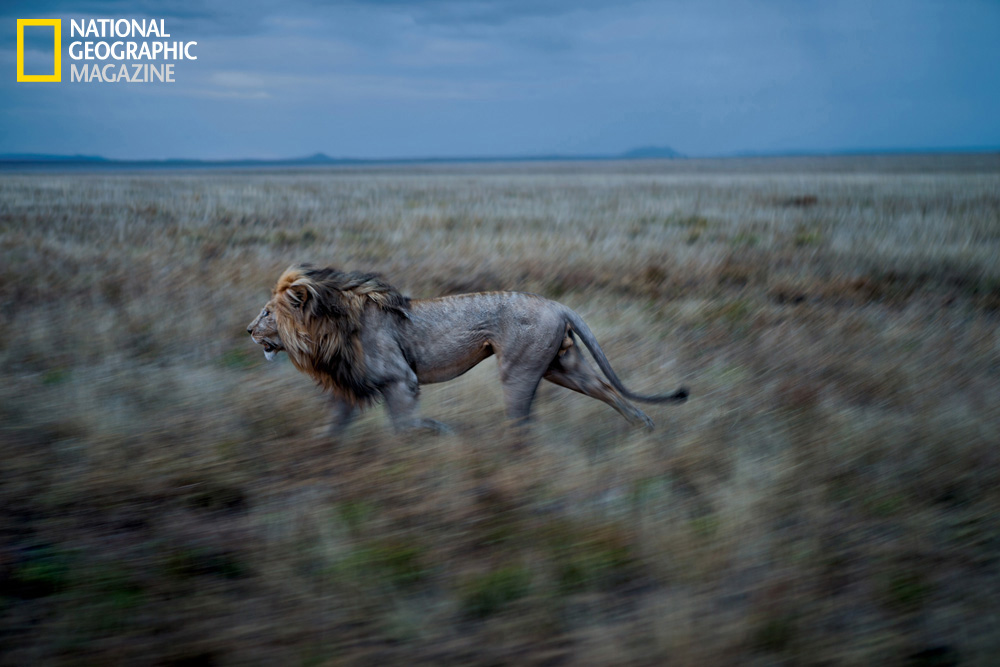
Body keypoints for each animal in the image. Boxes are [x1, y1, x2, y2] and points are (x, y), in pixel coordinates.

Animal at [247, 265, 688, 435]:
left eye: (267, 312)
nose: (249, 330)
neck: (325, 329)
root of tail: (558, 304)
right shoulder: (349, 387)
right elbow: (332, 430)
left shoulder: (400, 380)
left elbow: (407, 427)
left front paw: (444, 435)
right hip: (561, 366)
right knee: (607, 390)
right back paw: (645, 428)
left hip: (520, 370)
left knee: (522, 421)